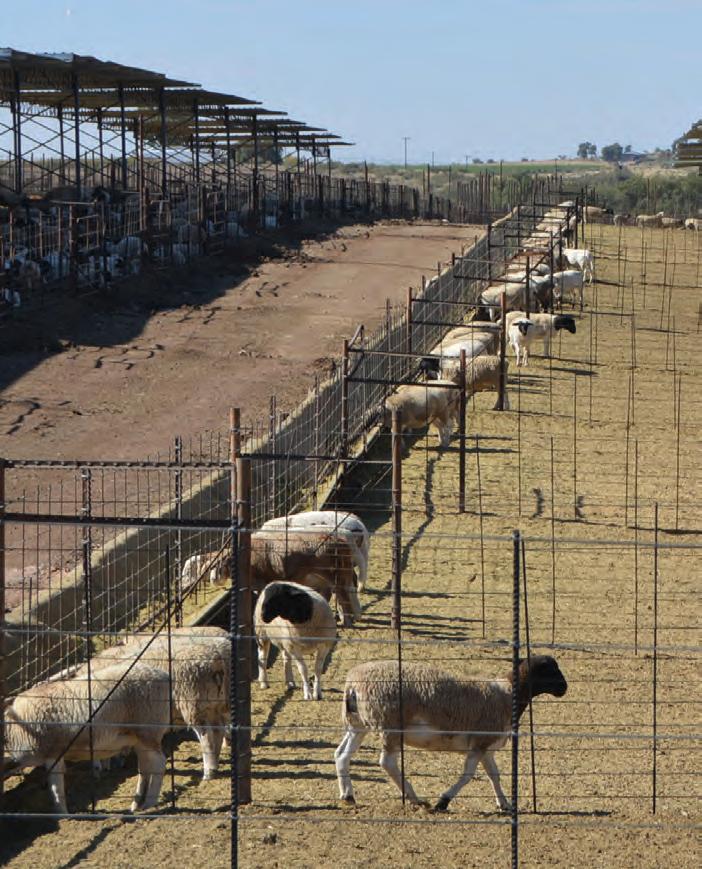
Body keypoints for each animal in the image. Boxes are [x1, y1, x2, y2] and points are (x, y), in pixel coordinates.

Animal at [4, 662, 171, 814]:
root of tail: (162, 675)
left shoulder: (54, 752)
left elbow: (57, 788)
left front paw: (63, 814)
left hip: (149, 730)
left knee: (159, 763)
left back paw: (150, 803)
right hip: (138, 737)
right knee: (145, 767)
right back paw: (136, 804)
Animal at [334, 655, 567, 811]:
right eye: (550, 670)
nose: (564, 688)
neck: (507, 694)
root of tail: (352, 685)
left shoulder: (486, 746)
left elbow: (494, 775)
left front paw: (504, 804)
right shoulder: (479, 744)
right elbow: (468, 776)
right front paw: (443, 801)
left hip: (358, 724)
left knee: (341, 755)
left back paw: (348, 795)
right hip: (390, 725)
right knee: (387, 762)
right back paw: (415, 798)